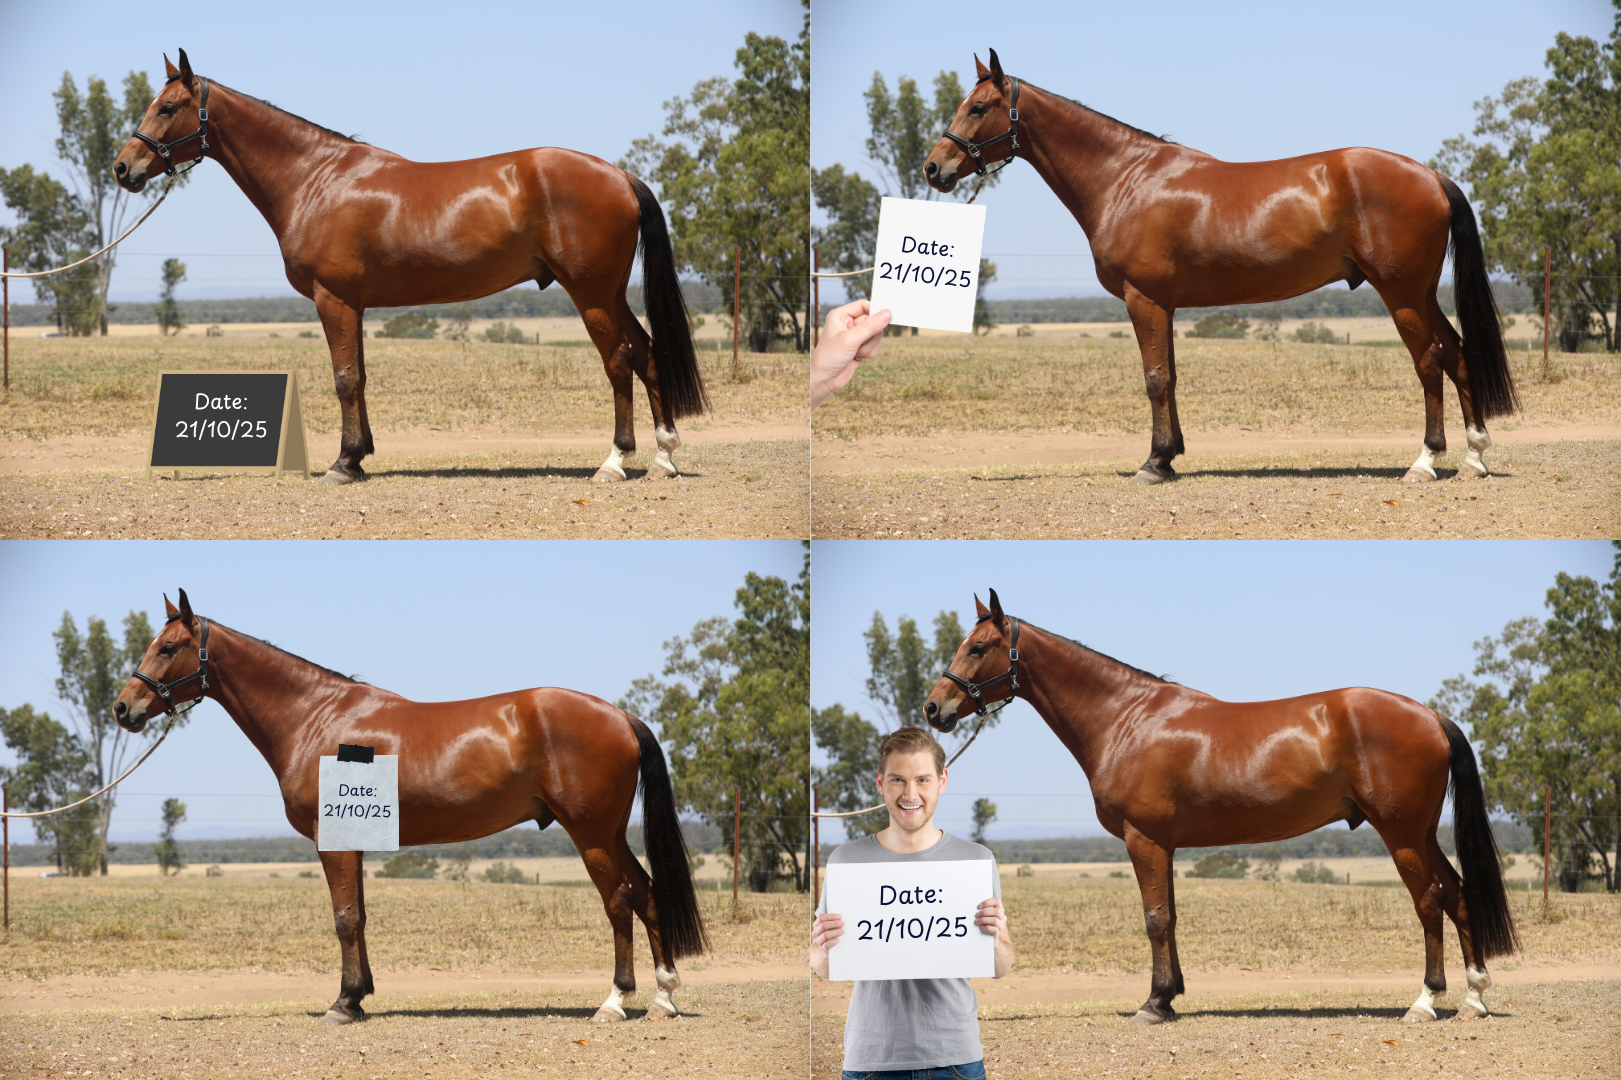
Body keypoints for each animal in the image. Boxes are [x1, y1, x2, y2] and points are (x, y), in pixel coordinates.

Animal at [111, 589, 707, 1024]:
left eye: (167, 648)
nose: (122, 708)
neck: (316, 717)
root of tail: (619, 714)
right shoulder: (354, 843)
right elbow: (360, 916)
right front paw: (359, 995)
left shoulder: (334, 842)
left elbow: (345, 918)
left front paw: (342, 1005)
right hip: (610, 833)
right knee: (647, 894)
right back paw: (664, 999)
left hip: (589, 834)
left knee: (620, 902)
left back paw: (613, 1003)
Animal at [113, 49, 708, 485]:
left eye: (167, 107)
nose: (123, 168)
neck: (316, 178)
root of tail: (619, 174)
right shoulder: (354, 305)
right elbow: (360, 376)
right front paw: (360, 455)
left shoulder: (334, 299)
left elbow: (345, 379)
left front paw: (343, 464)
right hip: (610, 293)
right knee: (647, 354)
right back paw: (664, 458)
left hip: (589, 294)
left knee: (619, 362)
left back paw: (613, 463)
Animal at [922, 589, 1517, 1025]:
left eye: (978, 647)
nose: (933, 708)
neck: (1126, 719)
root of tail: (1429, 714)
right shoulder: (1164, 845)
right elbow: (1171, 916)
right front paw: (1170, 996)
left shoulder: (1144, 839)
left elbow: (1155, 919)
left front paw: (1153, 1005)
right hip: (1421, 833)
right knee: (1458, 894)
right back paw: (1475, 998)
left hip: (1400, 834)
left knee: (1430, 902)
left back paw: (1424, 1003)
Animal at [925, 50, 1518, 485]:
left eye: (978, 107)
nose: (934, 168)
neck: (1126, 178)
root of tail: (1429, 174)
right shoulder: (1164, 304)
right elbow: (1170, 375)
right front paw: (1170, 456)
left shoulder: (1144, 298)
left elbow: (1155, 379)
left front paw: (1153, 464)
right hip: (1420, 293)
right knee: (1458, 354)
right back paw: (1474, 459)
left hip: (1400, 294)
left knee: (1430, 362)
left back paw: (1424, 463)